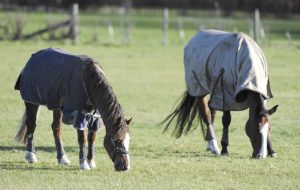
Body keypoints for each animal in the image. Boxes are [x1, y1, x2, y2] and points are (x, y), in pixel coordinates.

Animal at [163, 29, 278, 158]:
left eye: (270, 129)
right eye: (257, 128)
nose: (261, 155)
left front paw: (271, 150)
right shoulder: (225, 95)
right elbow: (226, 121)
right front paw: (224, 149)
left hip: (214, 93)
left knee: (211, 113)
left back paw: (210, 144)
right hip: (199, 89)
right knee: (207, 116)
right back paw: (214, 146)